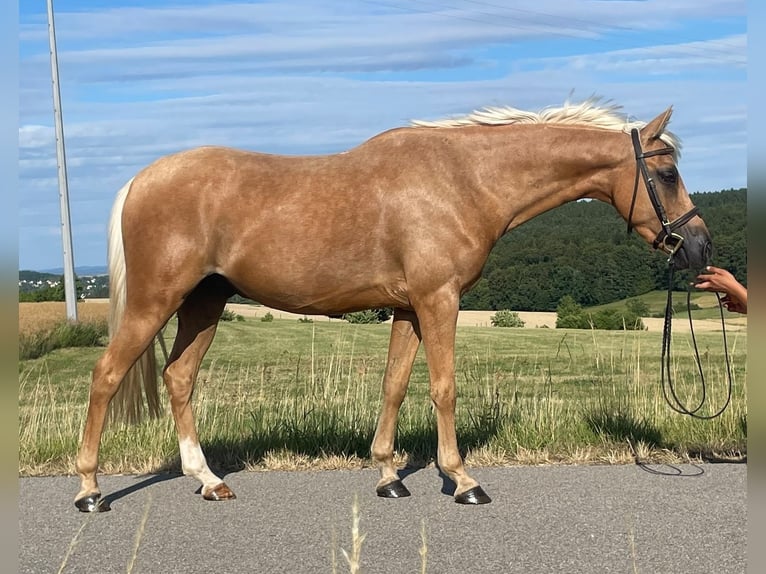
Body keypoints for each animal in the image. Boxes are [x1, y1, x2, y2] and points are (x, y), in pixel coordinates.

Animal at [74, 98, 712, 512]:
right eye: (667, 172)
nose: (700, 247)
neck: (464, 179)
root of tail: (140, 180)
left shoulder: (408, 309)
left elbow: (395, 386)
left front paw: (388, 476)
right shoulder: (438, 300)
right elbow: (443, 387)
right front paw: (462, 480)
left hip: (203, 304)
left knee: (179, 377)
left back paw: (207, 480)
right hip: (156, 300)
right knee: (106, 375)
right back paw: (90, 490)